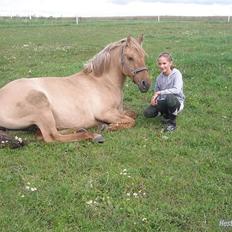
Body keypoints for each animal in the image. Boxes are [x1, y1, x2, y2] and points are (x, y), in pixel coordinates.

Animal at [0, 34, 150, 147]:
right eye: (130, 58)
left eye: (144, 56)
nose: (146, 84)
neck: (103, 82)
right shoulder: (106, 113)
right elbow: (131, 121)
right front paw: (111, 126)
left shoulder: (118, 111)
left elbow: (133, 114)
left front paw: (107, 125)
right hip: (42, 106)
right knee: (52, 136)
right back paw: (93, 134)